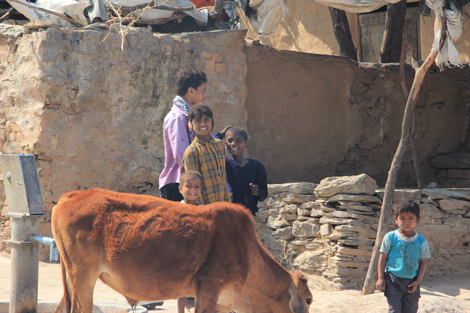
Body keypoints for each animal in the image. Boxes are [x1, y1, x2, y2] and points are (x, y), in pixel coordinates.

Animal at [51, 188, 312, 312]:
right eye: (308, 299)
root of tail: (72, 195)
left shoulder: (223, 302)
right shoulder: (207, 290)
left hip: (72, 280)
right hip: (83, 276)